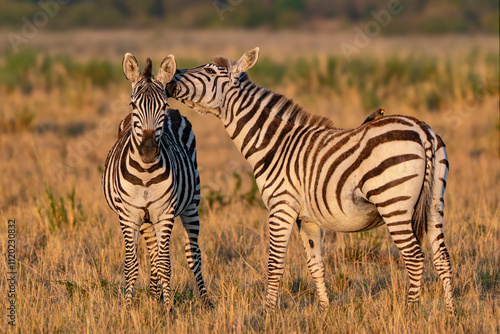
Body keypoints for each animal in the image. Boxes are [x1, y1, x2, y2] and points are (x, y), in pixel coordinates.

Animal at [102, 53, 210, 310]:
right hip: (144, 218)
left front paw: (168, 308)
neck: (145, 173)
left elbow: (165, 264)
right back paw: (152, 296)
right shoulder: (128, 215)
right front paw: (128, 307)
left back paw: (205, 301)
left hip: (192, 203)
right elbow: (132, 265)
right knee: (152, 252)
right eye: (133, 105)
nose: (149, 151)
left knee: (193, 254)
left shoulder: (165, 213)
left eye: (163, 105)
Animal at [165, 48, 458, 314]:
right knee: (442, 257)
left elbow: (274, 263)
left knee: (415, 257)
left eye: (210, 71)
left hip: (393, 202)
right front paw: (325, 310)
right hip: (435, 202)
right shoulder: (306, 218)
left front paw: (268, 312)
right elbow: (315, 264)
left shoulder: (281, 207)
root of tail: (422, 130)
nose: (168, 82)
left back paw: (411, 312)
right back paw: (451, 313)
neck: (277, 144)